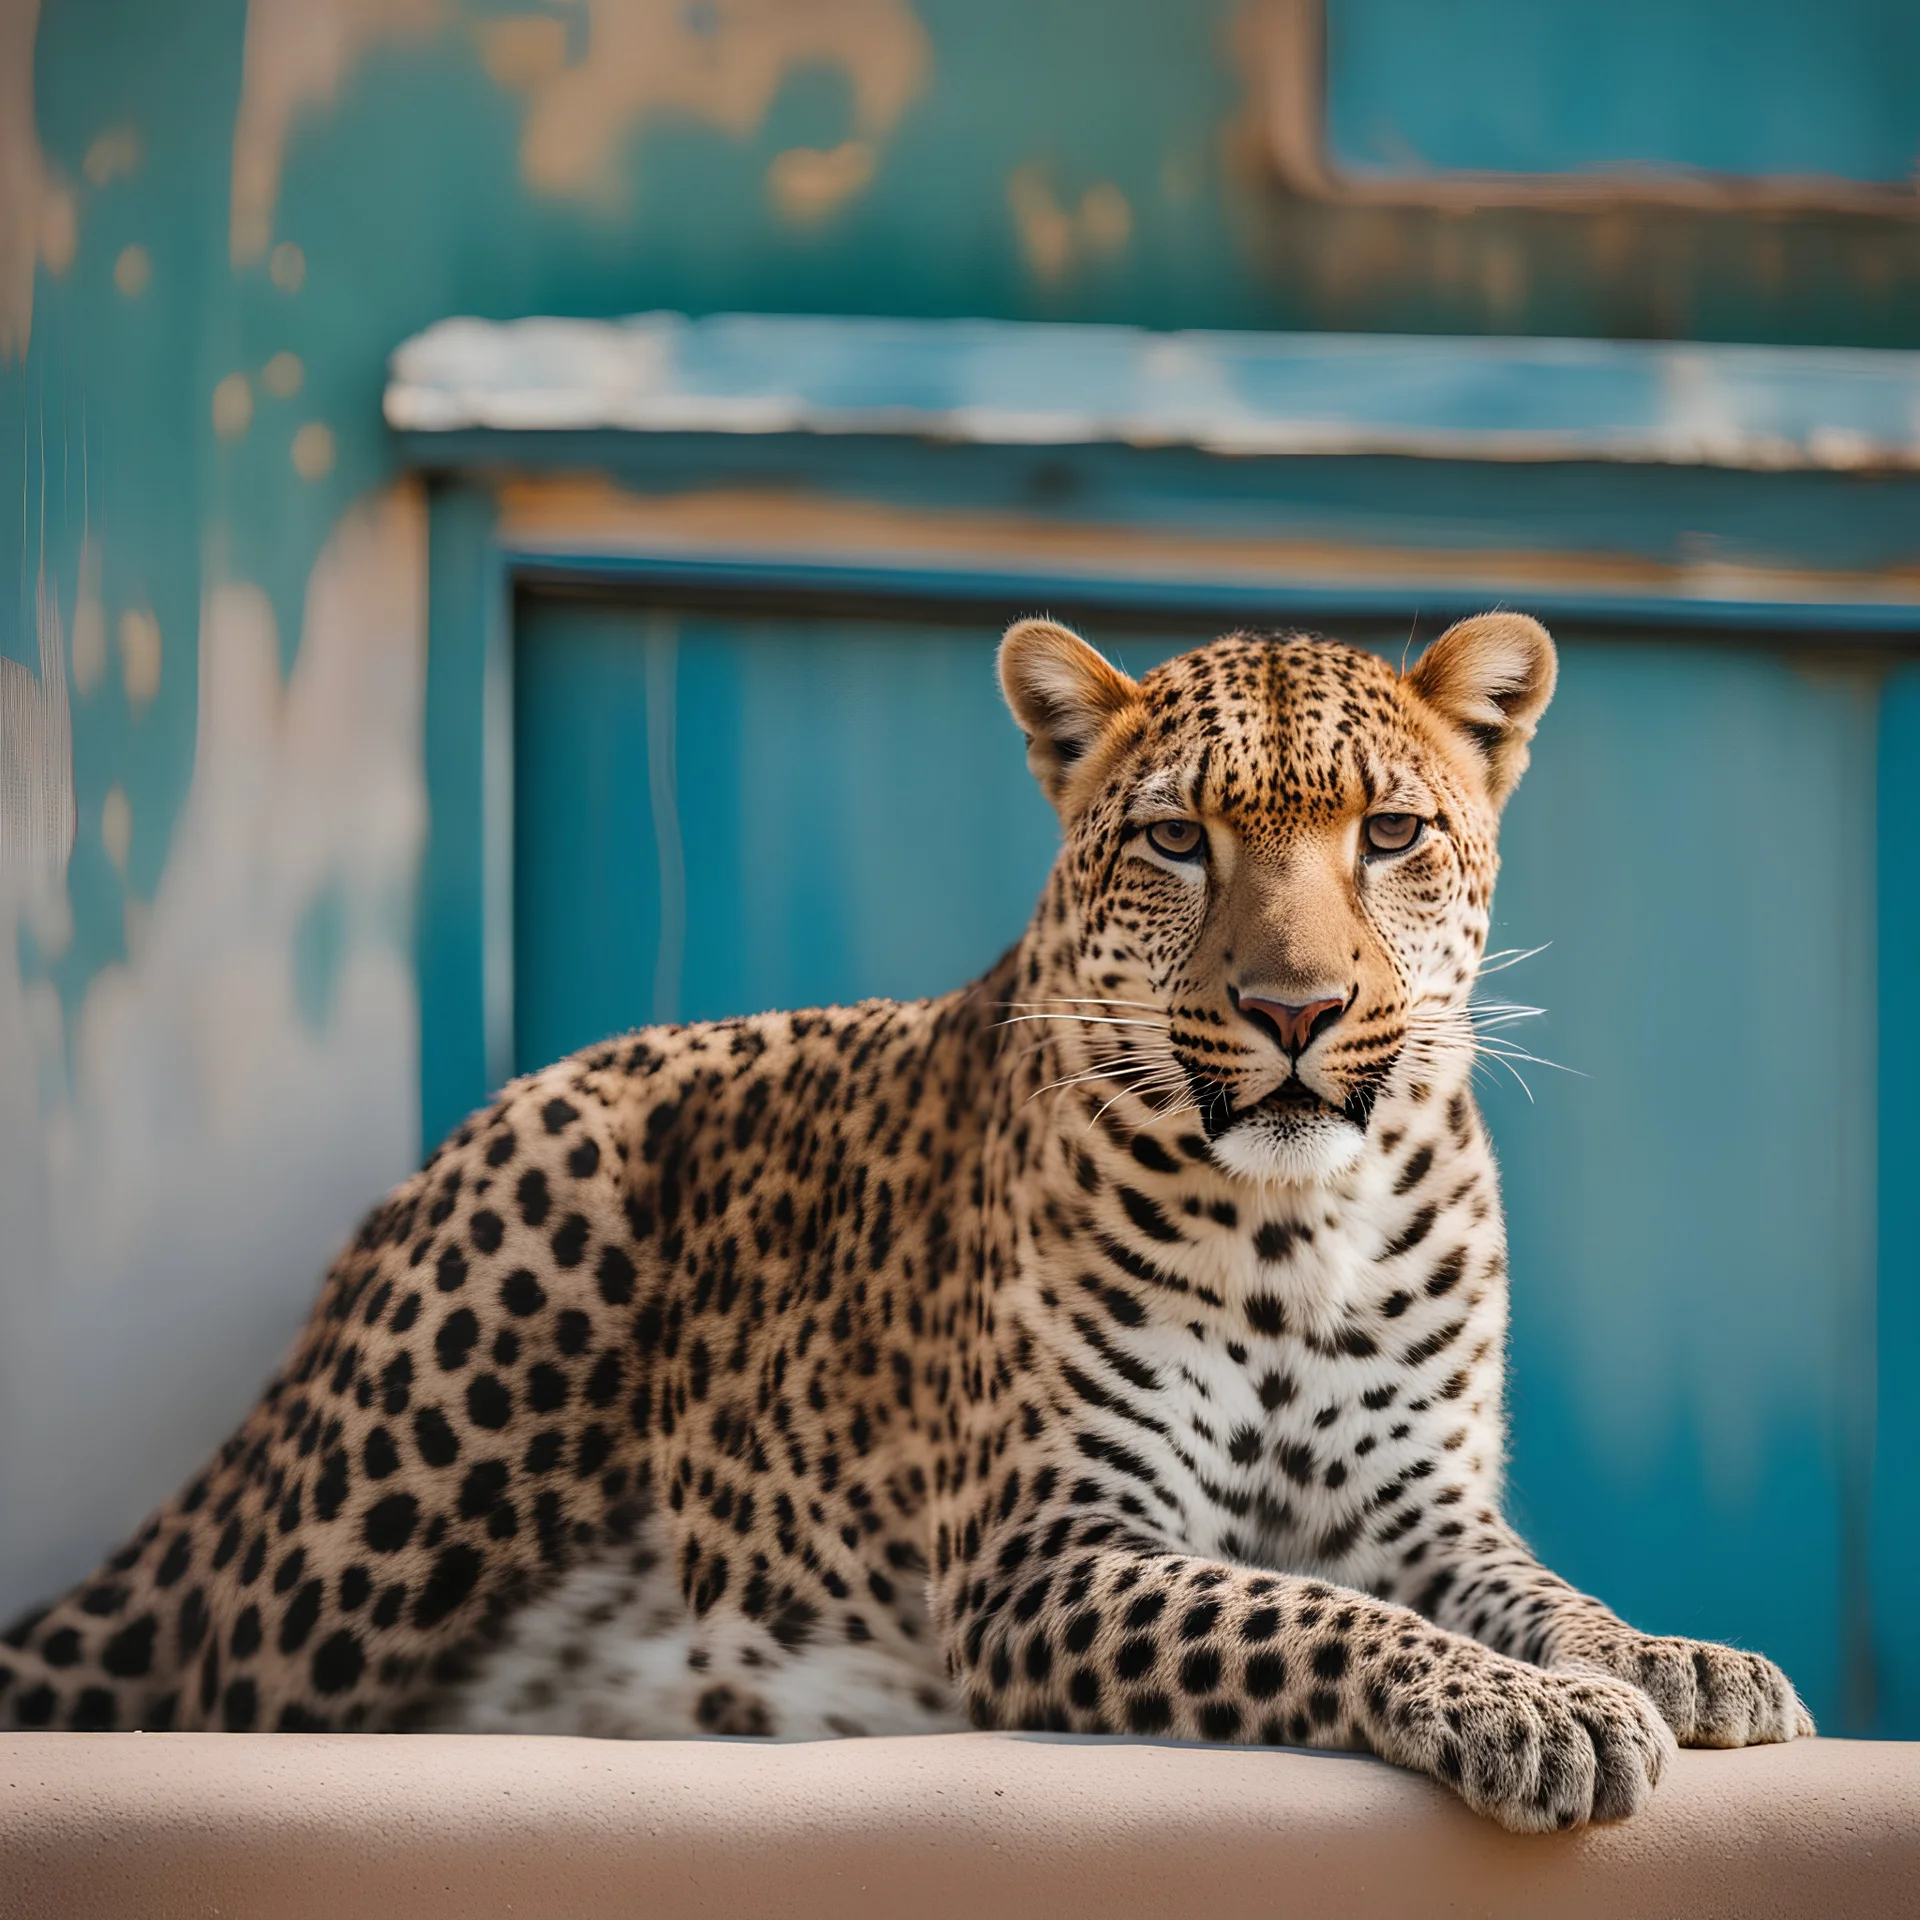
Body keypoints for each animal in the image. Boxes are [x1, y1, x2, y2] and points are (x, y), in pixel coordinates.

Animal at [0, 614, 1812, 1827]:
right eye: (1179, 839)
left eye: (1391, 833)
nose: (1295, 1011)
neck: (1304, 1228)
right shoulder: (1048, 1551)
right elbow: (1313, 1613)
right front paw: (1531, 1713)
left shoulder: (1423, 1509)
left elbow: (1541, 1594)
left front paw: (1670, 1663)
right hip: (391, 1485)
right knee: (211, 1701)